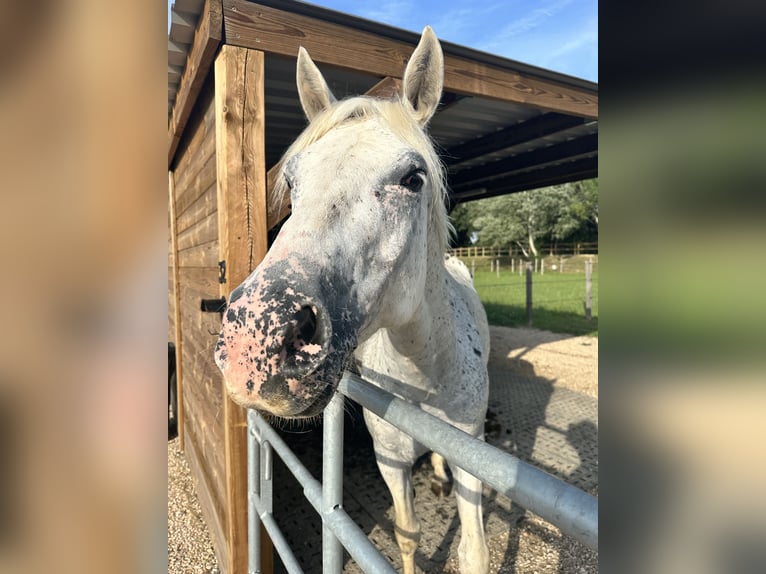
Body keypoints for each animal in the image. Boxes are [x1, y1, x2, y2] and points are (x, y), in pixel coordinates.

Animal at [216, 28, 492, 574]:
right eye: (292, 181)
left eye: (413, 178)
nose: (254, 343)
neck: (426, 374)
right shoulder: (391, 457)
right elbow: (407, 532)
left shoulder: (472, 452)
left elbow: (474, 550)